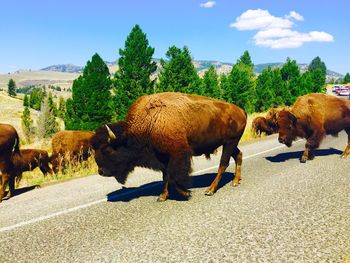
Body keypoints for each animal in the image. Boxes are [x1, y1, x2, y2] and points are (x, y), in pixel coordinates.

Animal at [91, 92, 247, 202]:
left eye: (107, 149)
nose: (101, 171)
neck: (149, 121)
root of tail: (241, 110)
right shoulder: (162, 157)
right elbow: (165, 175)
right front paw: (163, 196)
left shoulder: (178, 154)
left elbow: (173, 176)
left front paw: (186, 193)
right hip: (230, 144)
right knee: (238, 155)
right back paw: (235, 181)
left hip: (229, 143)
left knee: (223, 164)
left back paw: (210, 189)